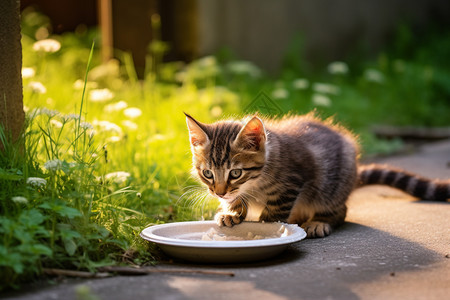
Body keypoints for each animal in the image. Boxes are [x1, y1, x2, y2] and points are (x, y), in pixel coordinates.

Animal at [185, 113, 448, 238]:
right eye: (207, 173)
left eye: (236, 173)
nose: (219, 192)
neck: (256, 184)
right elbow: (238, 201)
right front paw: (231, 213)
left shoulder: (292, 182)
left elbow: (275, 212)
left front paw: (265, 227)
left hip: (331, 187)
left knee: (340, 210)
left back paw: (319, 222)